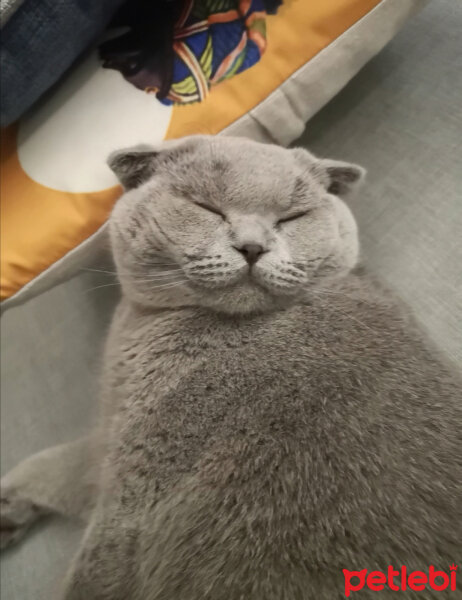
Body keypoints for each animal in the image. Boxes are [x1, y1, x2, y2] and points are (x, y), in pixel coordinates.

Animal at [0, 137, 462, 600]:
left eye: (292, 217)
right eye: (206, 207)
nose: (253, 247)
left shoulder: (138, 484)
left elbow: (91, 565)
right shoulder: (108, 444)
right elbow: (52, 464)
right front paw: (6, 507)